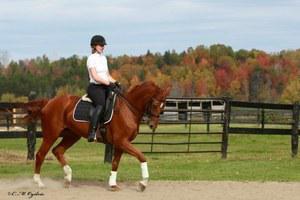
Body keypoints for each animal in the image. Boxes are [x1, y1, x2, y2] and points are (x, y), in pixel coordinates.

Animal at [23, 81, 171, 192]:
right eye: (155, 104)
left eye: (163, 106)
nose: (152, 125)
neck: (128, 109)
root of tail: (49, 102)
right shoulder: (122, 142)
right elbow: (141, 156)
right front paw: (143, 183)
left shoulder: (121, 144)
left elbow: (115, 163)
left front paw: (113, 184)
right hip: (51, 135)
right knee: (41, 155)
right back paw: (39, 182)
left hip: (72, 135)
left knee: (57, 151)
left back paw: (68, 178)